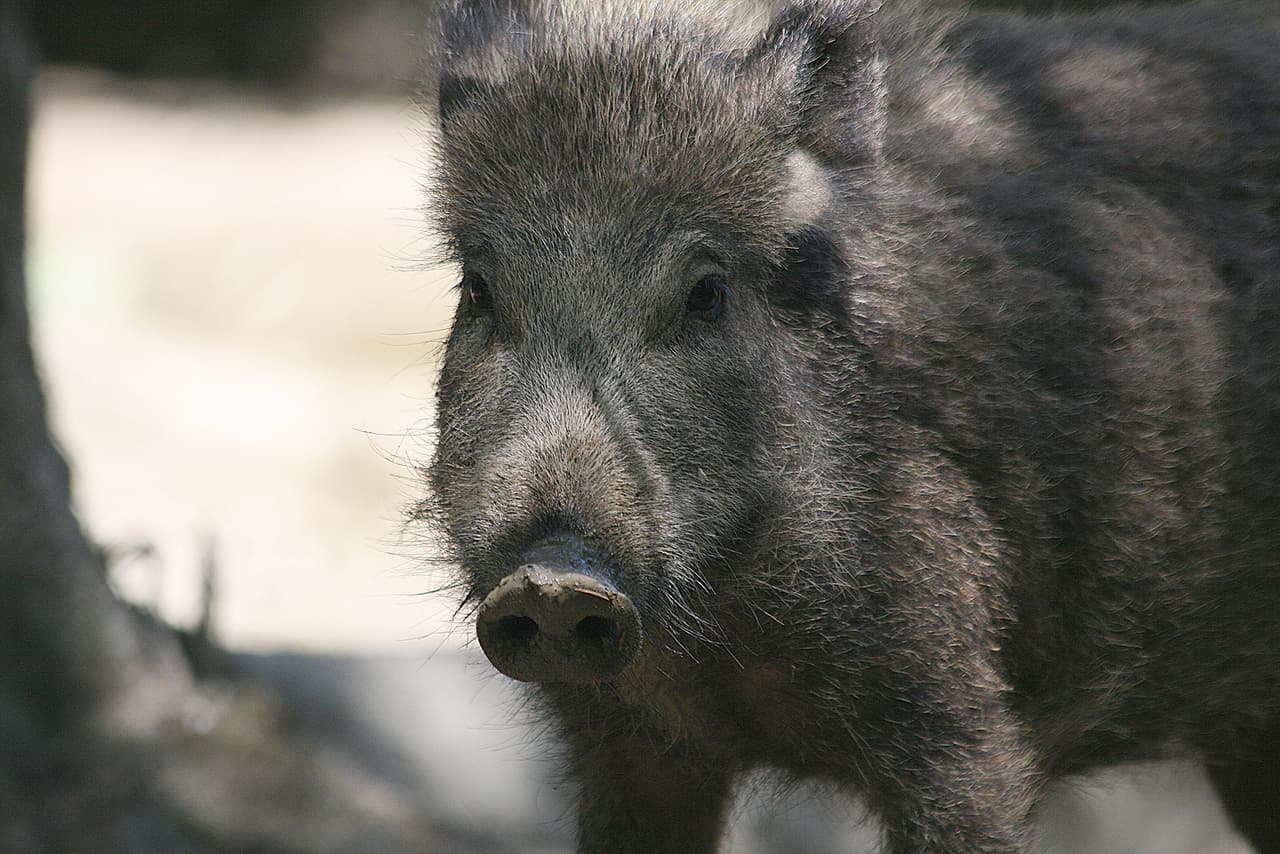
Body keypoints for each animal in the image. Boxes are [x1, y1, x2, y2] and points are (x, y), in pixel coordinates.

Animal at [418, 0, 1280, 851]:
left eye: (706, 293)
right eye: (479, 290)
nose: (552, 581)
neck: (719, 644)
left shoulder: (960, 718)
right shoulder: (625, 742)